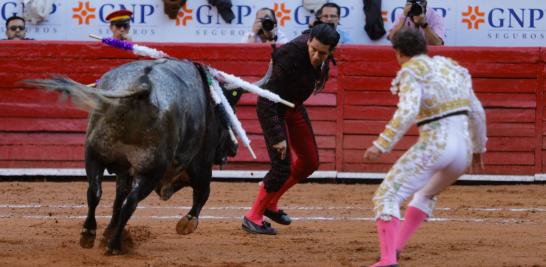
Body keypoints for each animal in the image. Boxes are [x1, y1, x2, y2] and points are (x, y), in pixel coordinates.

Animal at [25, 58, 241, 255]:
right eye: (228, 117)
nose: (234, 149)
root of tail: (144, 85)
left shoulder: (124, 171)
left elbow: (117, 199)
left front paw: (107, 232)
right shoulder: (200, 163)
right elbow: (204, 192)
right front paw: (187, 224)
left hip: (93, 154)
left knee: (95, 192)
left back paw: (89, 233)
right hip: (151, 172)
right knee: (132, 202)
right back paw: (114, 245)